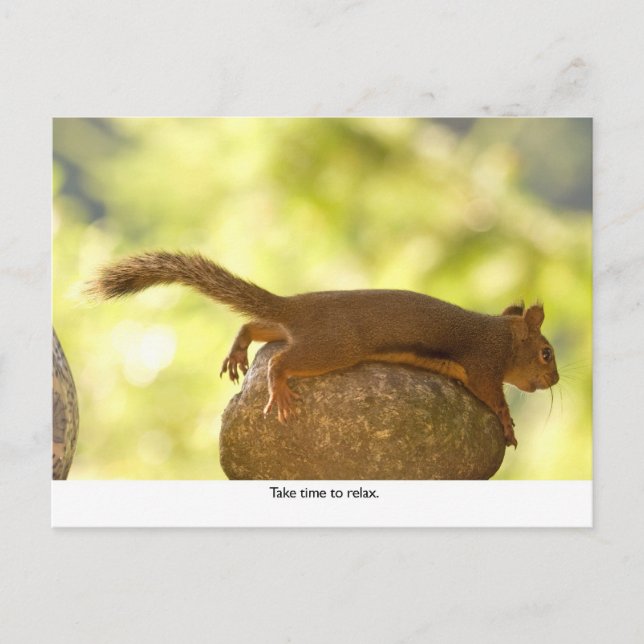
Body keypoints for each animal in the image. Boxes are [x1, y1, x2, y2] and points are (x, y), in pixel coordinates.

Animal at [88, 251, 559, 448]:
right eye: (546, 354)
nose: (554, 378)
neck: (502, 337)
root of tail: (296, 306)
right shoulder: (482, 366)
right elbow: (494, 396)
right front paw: (508, 423)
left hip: (300, 333)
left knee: (258, 326)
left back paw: (240, 348)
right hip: (332, 348)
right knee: (281, 359)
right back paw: (278, 385)